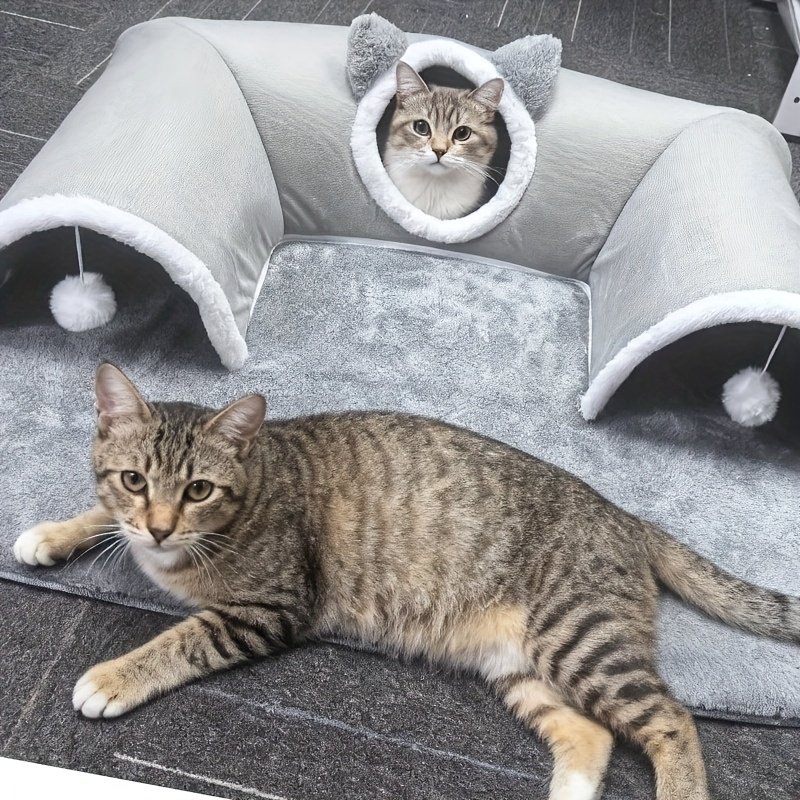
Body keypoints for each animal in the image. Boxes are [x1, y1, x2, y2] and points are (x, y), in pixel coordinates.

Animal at [13, 363, 800, 800]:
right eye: (134, 480)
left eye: (200, 489)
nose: (159, 527)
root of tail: (626, 517)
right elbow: (100, 518)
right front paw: (53, 533)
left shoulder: (269, 607)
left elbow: (182, 638)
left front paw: (113, 676)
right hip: (525, 666)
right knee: (591, 734)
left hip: (580, 636)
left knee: (671, 719)